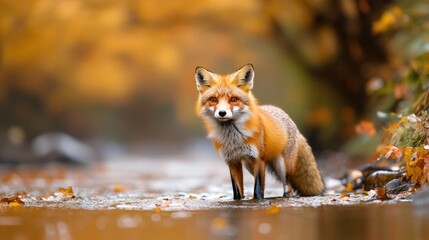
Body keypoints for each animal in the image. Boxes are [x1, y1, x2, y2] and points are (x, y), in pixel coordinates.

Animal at [196, 63, 322, 199]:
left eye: (233, 99)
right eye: (213, 99)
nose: (222, 113)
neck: (233, 138)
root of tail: (288, 117)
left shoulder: (258, 159)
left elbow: (257, 189)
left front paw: (258, 200)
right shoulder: (233, 161)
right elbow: (237, 192)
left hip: (281, 166)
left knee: (288, 186)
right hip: (250, 166)